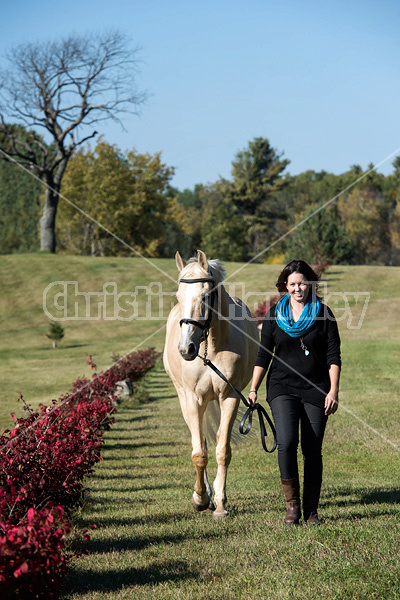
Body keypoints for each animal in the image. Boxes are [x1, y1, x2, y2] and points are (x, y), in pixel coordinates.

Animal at [163, 248, 260, 516]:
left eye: (205, 297)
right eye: (178, 296)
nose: (186, 349)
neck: (212, 347)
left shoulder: (230, 397)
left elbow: (222, 451)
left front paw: (221, 503)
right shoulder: (193, 399)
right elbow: (199, 453)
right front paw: (200, 498)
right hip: (185, 399)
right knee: (201, 442)